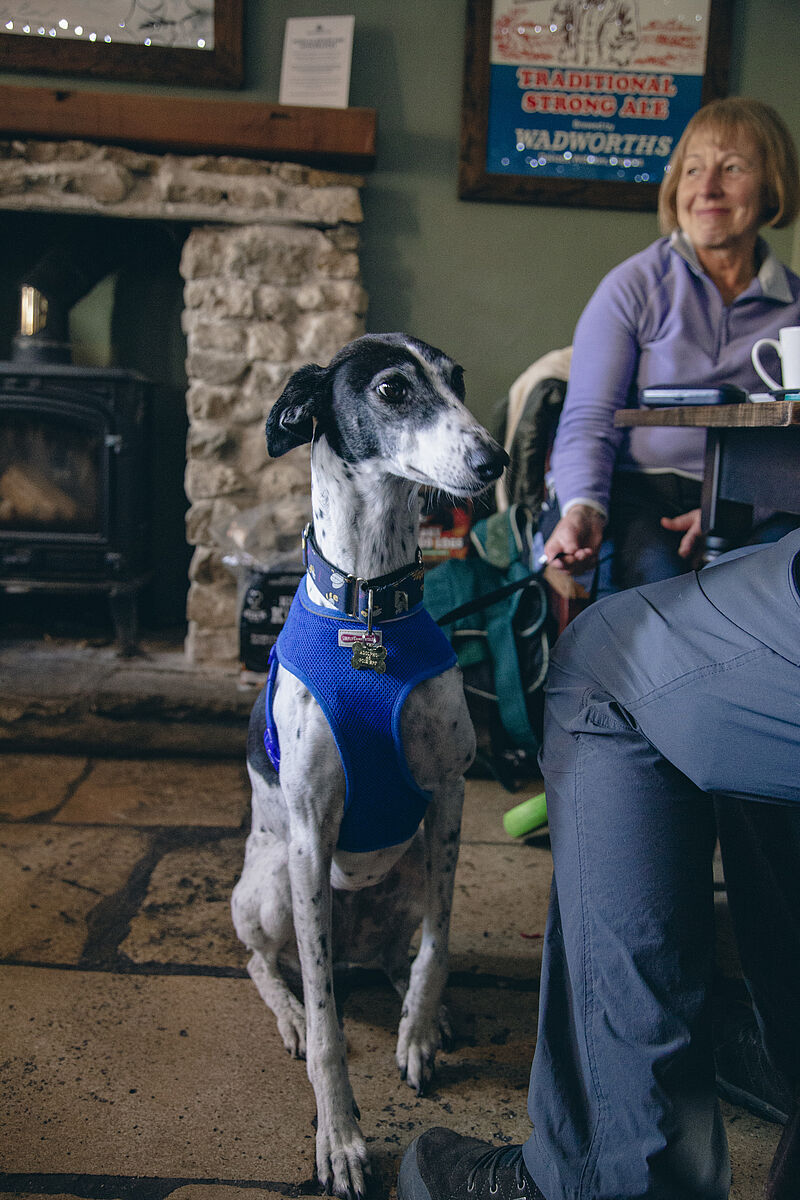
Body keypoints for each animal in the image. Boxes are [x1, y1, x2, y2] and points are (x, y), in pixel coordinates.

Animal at [231, 333, 508, 1199]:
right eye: (392, 389)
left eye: (458, 382)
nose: (495, 459)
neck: (368, 608)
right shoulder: (312, 834)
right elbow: (328, 1031)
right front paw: (343, 1139)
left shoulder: (450, 797)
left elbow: (440, 946)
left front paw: (417, 1033)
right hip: (272, 889)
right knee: (269, 963)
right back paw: (288, 1011)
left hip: (414, 866)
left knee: (400, 951)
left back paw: (424, 1007)